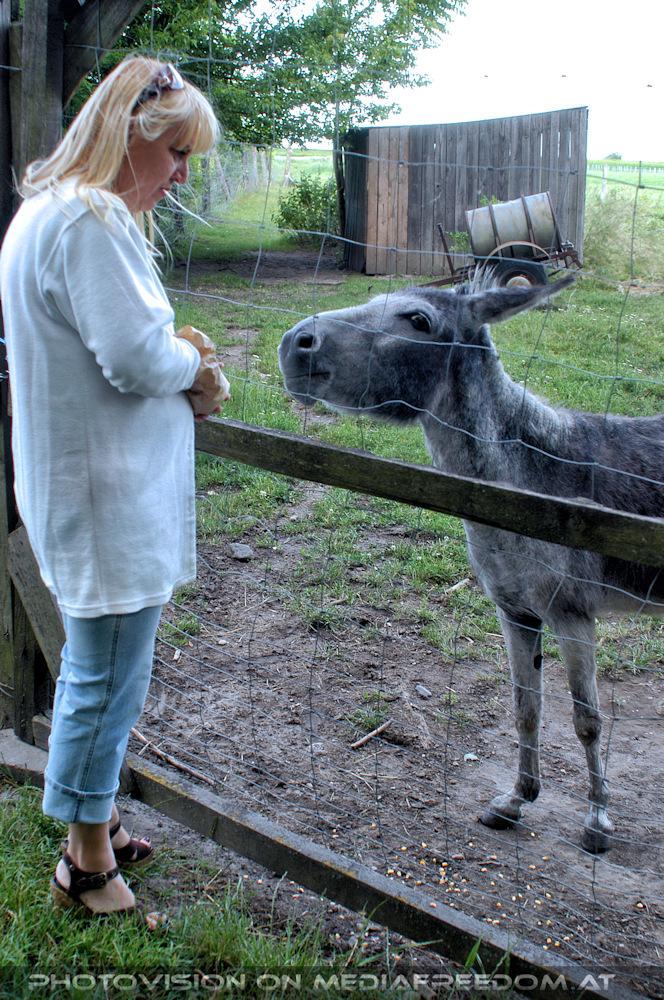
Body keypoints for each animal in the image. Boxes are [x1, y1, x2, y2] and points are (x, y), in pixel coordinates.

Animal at [278, 273, 664, 853]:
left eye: (418, 319)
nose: (294, 342)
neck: (525, 486)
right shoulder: (515, 610)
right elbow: (526, 709)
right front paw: (517, 800)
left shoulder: (572, 612)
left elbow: (587, 719)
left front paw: (598, 820)